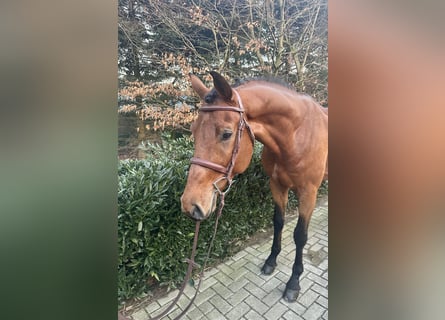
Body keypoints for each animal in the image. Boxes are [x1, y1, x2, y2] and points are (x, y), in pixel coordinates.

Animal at [179, 71, 328, 302]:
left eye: (226, 134)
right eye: (193, 131)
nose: (190, 204)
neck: (297, 134)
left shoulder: (308, 193)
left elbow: (300, 236)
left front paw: (293, 283)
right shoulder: (277, 185)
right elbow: (278, 222)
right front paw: (271, 261)